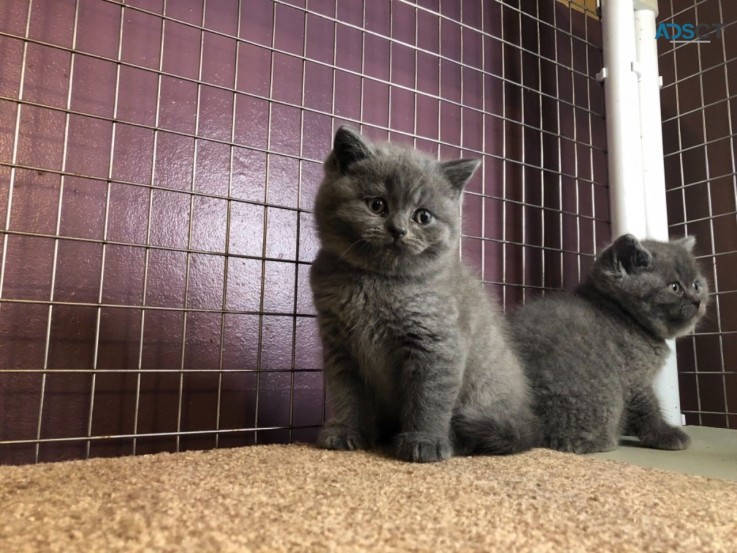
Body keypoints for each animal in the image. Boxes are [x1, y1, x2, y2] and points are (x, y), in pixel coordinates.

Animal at [308, 125, 536, 462]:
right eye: (377, 205)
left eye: (423, 216)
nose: (398, 230)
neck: (378, 280)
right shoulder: (339, 345)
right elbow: (346, 392)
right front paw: (345, 431)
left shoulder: (436, 344)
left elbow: (429, 397)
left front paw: (425, 442)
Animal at [506, 233, 708, 452]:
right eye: (675, 287)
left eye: (697, 285)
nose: (698, 301)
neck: (625, 314)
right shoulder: (635, 378)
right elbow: (648, 408)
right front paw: (666, 435)